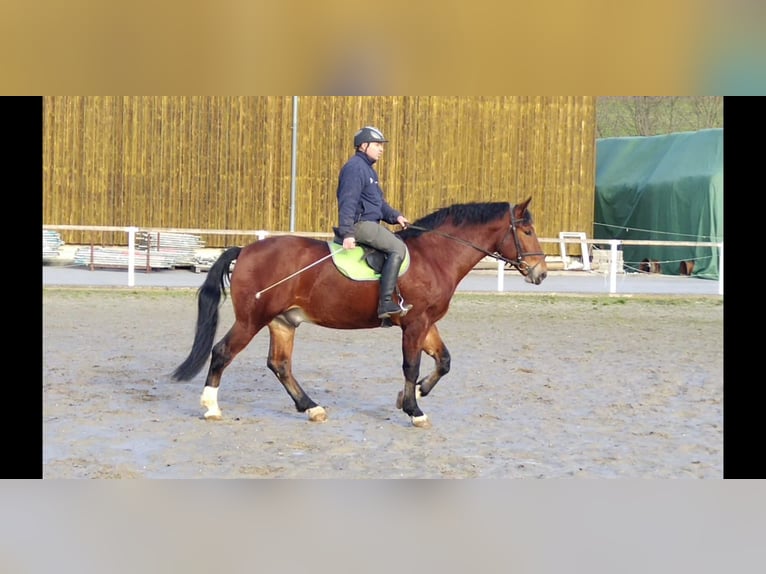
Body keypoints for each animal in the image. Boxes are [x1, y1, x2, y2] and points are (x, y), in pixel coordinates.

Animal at [172, 198, 548, 428]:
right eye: (527, 231)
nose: (541, 273)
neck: (435, 256)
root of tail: (246, 249)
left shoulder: (426, 323)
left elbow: (444, 361)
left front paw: (413, 395)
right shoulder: (414, 323)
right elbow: (411, 366)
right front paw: (414, 410)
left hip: (283, 321)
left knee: (280, 365)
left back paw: (311, 407)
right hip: (251, 319)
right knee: (222, 352)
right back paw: (211, 407)